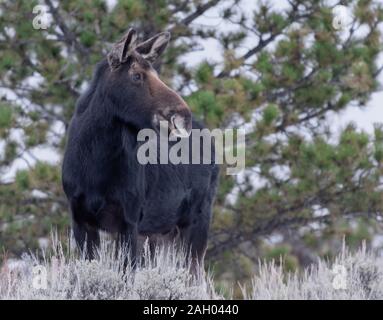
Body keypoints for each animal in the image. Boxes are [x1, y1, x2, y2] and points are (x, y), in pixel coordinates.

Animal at [62, 28, 220, 272]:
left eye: (156, 73)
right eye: (136, 75)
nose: (183, 116)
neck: (94, 166)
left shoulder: (129, 219)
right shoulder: (80, 217)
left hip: (197, 218)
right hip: (161, 231)